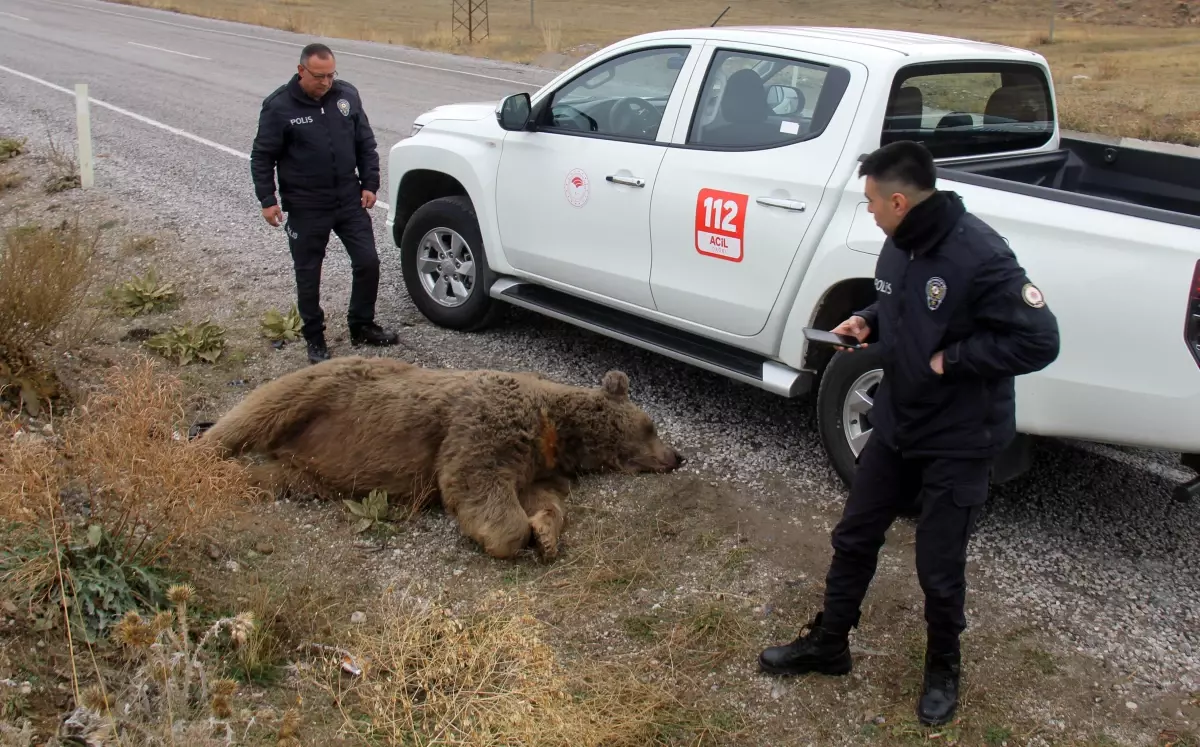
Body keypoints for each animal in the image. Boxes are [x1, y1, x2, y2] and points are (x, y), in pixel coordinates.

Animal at [196, 357, 686, 562]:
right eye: (652, 426)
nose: (678, 456)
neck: (557, 434)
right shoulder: (485, 424)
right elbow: (473, 480)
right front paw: (511, 538)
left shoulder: (536, 465)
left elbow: (542, 498)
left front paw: (546, 534)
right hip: (319, 389)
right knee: (251, 415)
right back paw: (196, 451)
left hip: (309, 474)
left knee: (269, 475)